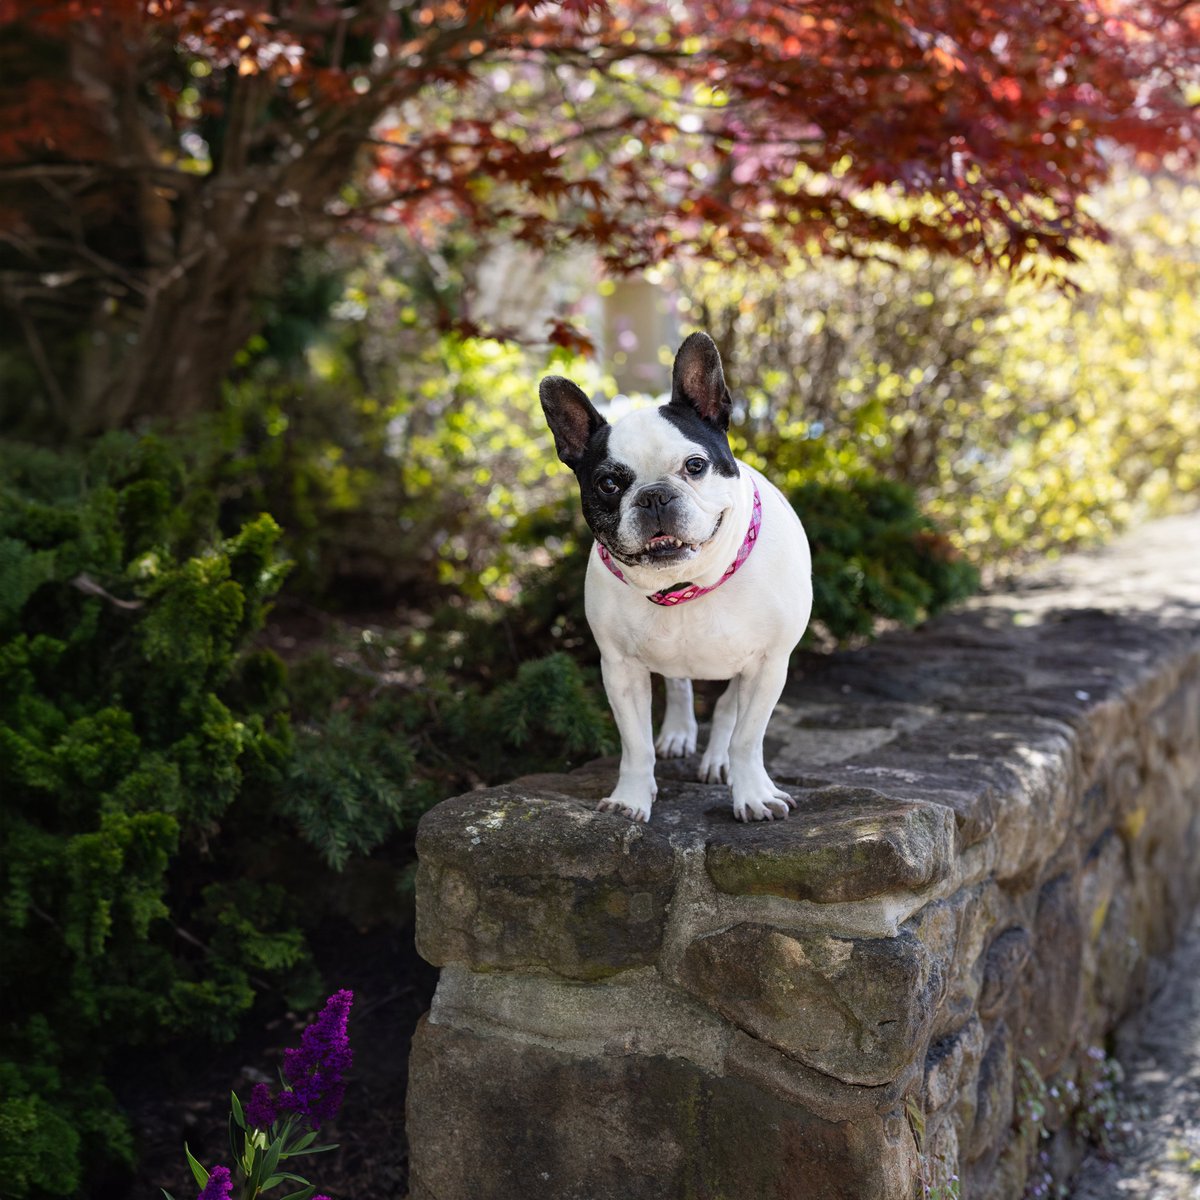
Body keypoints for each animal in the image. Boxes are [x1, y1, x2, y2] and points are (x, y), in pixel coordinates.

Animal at [540, 333, 811, 830]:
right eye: (608, 484)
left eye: (695, 465)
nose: (654, 496)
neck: (685, 585)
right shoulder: (620, 670)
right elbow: (635, 745)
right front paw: (631, 797)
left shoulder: (769, 663)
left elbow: (747, 737)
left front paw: (753, 794)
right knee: (680, 684)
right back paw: (679, 733)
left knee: (726, 708)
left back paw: (718, 758)